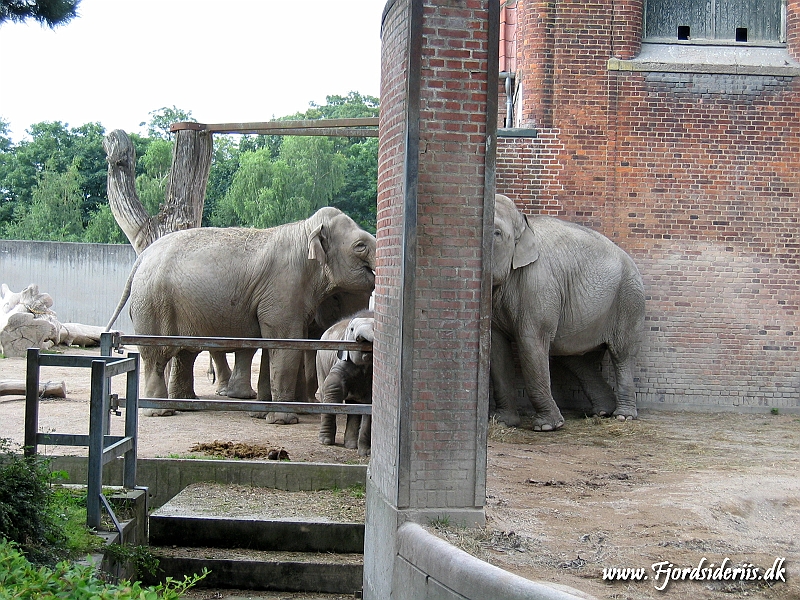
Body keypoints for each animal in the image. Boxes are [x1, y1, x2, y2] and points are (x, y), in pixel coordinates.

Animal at [107, 209, 378, 424]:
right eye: (361, 246)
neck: (306, 229)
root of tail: (142, 256)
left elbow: (276, 346)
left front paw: (261, 415)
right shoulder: (283, 288)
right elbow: (285, 345)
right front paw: (282, 421)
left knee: (185, 352)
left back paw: (185, 405)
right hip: (153, 303)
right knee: (158, 354)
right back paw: (160, 412)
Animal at [314, 312, 374, 458]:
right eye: (352, 329)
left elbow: (370, 405)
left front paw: (365, 453)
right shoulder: (343, 359)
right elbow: (333, 386)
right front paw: (326, 442)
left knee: (354, 405)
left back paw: (351, 445)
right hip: (319, 361)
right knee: (325, 390)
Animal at [490, 196, 648, 432]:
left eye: (497, 233)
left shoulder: (538, 285)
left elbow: (531, 342)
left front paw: (547, 427)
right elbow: (497, 348)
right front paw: (502, 421)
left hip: (629, 300)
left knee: (623, 354)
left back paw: (623, 416)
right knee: (578, 361)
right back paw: (601, 412)